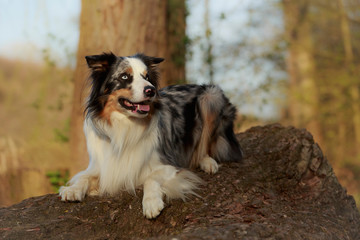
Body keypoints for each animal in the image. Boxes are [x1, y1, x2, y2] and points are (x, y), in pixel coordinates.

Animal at [59, 53, 242, 219]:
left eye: (147, 77)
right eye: (124, 76)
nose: (151, 90)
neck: (125, 125)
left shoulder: (171, 164)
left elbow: (150, 177)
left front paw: (151, 202)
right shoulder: (103, 167)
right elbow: (84, 176)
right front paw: (72, 189)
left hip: (210, 96)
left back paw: (207, 161)